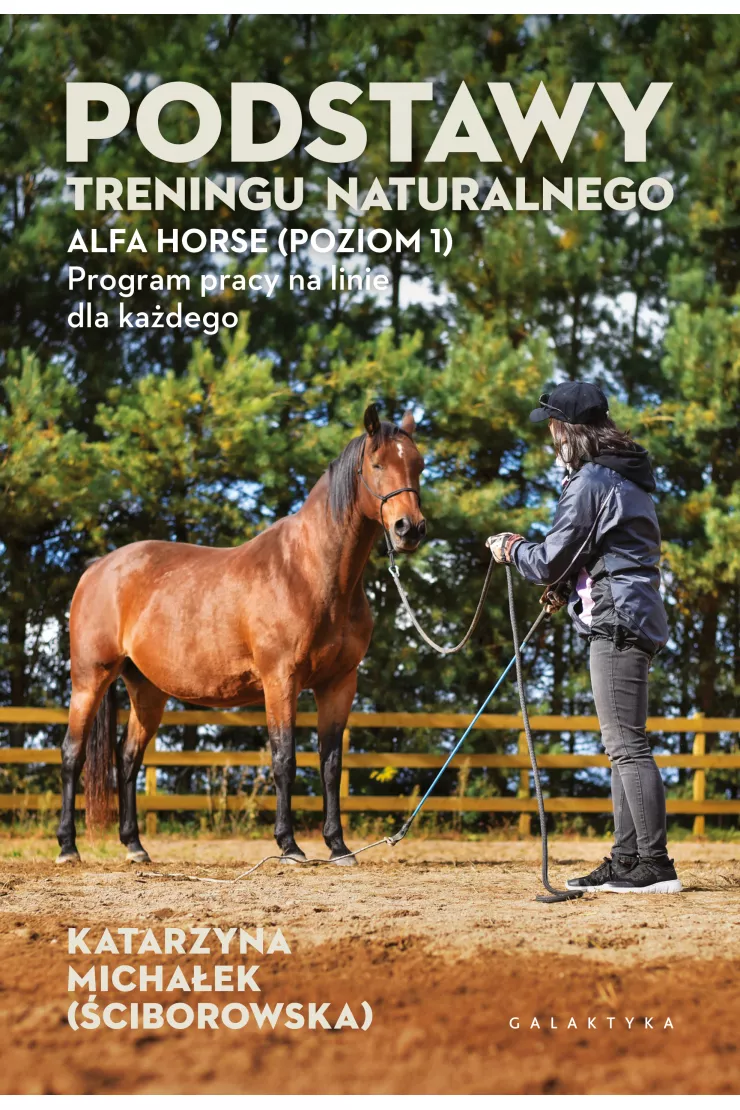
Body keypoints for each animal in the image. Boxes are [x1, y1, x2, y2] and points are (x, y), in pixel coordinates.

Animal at [56, 404, 426, 866]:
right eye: (377, 465)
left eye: (418, 465)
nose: (410, 528)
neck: (309, 571)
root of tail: (98, 568)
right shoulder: (280, 681)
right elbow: (284, 759)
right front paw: (289, 846)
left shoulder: (339, 684)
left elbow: (331, 764)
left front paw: (338, 847)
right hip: (90, 679)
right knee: (72, 754)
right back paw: (68, 847)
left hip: (147, 690)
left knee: (127, 759)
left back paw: (135, 847)